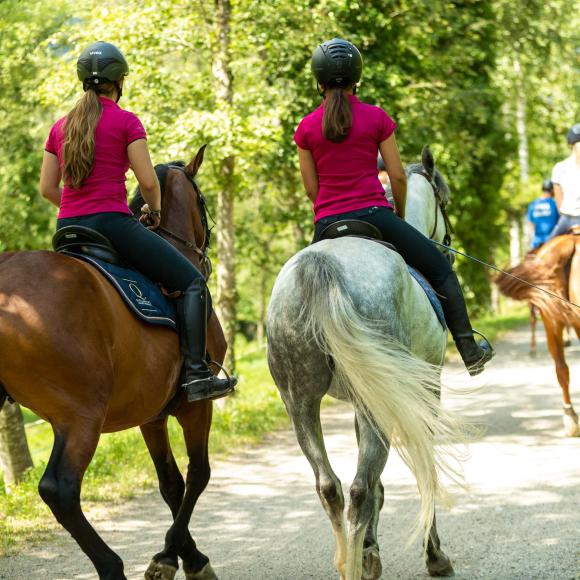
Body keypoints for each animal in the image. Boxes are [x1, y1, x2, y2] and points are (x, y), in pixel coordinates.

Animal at [0, 146, 224, 580]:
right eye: (204, 202)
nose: (208, 257)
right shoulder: (196, 405)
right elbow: (198, 475)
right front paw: (178, 558)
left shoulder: (151, 415)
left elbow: (170, 483)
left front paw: (180, 555)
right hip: (80, 414)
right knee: (60, 490)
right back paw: (110, 565)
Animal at [268, 150, 466, 580]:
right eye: (444, 201)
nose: (446, 248)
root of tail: (320, 267)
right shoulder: (425, 390)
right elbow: (422, 470)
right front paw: (435, 555)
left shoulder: (368, 396)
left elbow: (378, 484)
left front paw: (371, 552)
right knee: (360, 487)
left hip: (301, 402)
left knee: (332, 486)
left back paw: (349, 561)